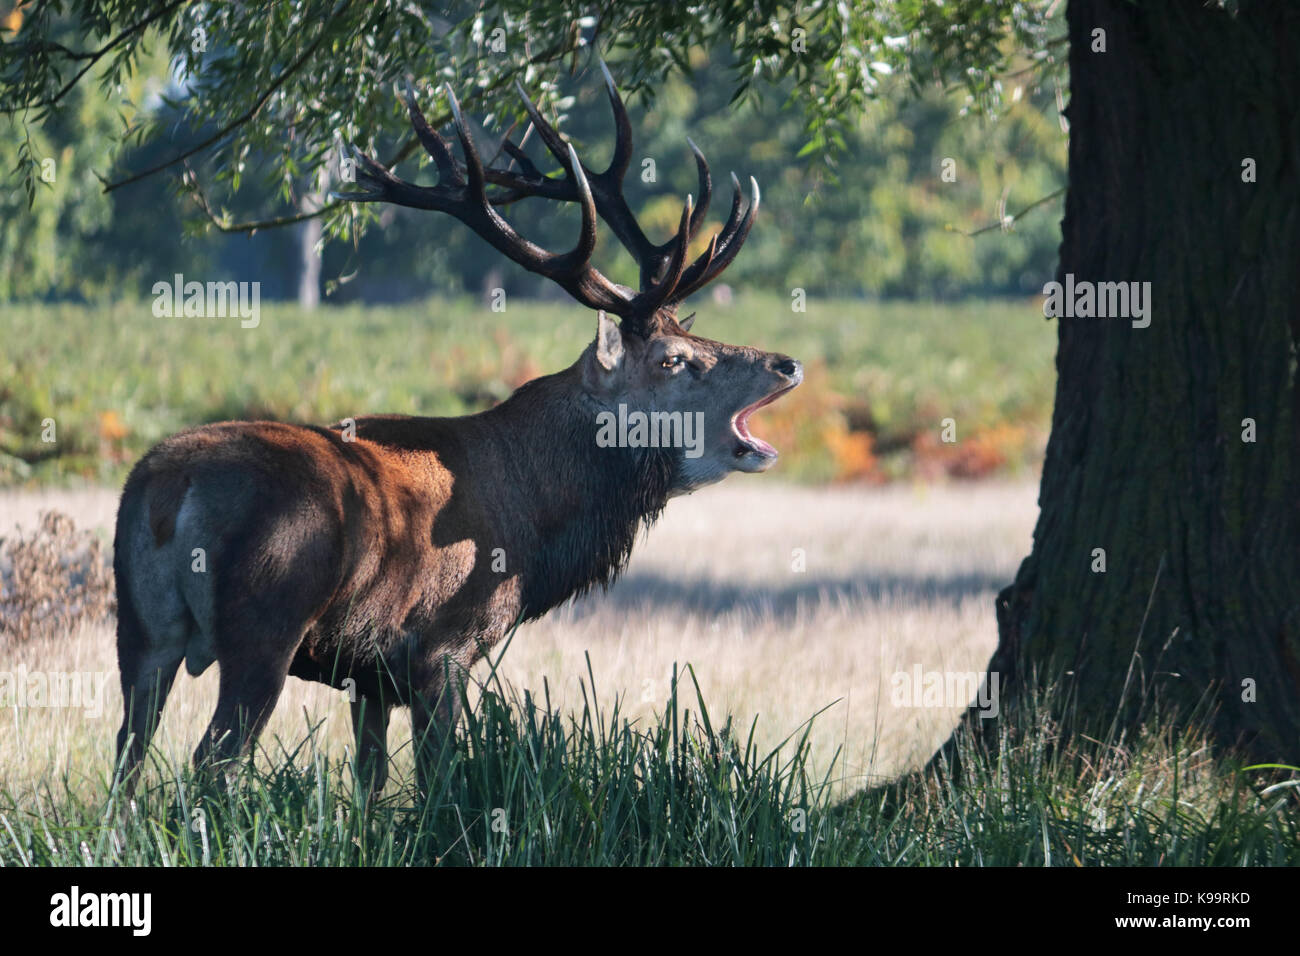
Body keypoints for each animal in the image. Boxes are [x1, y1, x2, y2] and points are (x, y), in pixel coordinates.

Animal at [114, 61, 800, 790]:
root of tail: (169, 490)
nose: (786, 362)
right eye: (674, 359)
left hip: (140, 628)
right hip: (265, 623)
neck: (534, 526)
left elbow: (371, 782)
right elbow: (440, 779)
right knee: (212, 761)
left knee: (126, 757)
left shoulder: (369, 675)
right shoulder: (443, 648)